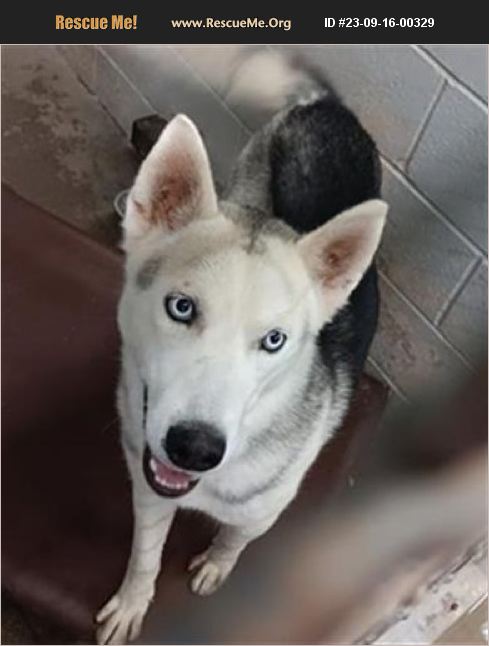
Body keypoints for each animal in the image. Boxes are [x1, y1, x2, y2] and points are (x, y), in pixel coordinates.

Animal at [95, 50, 388, 644]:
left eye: (273, 341)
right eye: (181, 307)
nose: (195, 448)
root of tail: (326, 107)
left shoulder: (260, 514)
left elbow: (235, 539)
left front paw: (216, 564)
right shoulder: (148, 489)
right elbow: (144, 556)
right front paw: (134, 602)